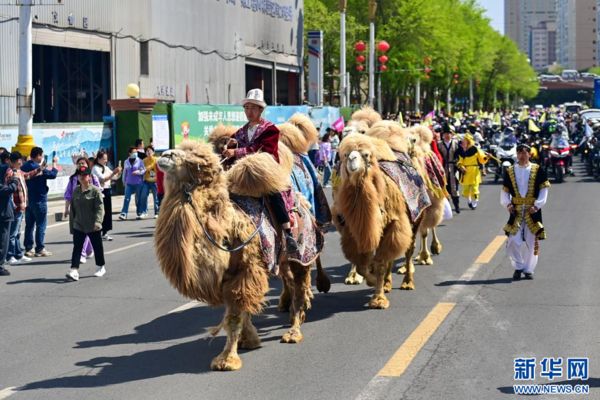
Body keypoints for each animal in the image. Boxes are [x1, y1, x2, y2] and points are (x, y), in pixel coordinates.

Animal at [157, 141, 322, 372]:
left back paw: (293, 332)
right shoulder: (229, 277)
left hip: (302, 254)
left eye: (196, 163)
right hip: (282, 261)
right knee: (290, 281)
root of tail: (305, 205)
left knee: (300, 288)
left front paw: (227, 359)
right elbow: (241, 312)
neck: (226, 228)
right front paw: (249, 339)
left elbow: (235, 315)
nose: (165, 155)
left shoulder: (245, 270)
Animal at [332, 134, 418, 310]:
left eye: (365, 155)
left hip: (414, 221)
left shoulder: (393, 225)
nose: (352, 159)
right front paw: (371, 281)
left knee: (408, 251)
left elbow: (379, 264)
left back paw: (407, 283)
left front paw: (378, 299)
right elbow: (361, 264)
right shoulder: (356, 231)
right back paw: (387, 284)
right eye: (346, 154)